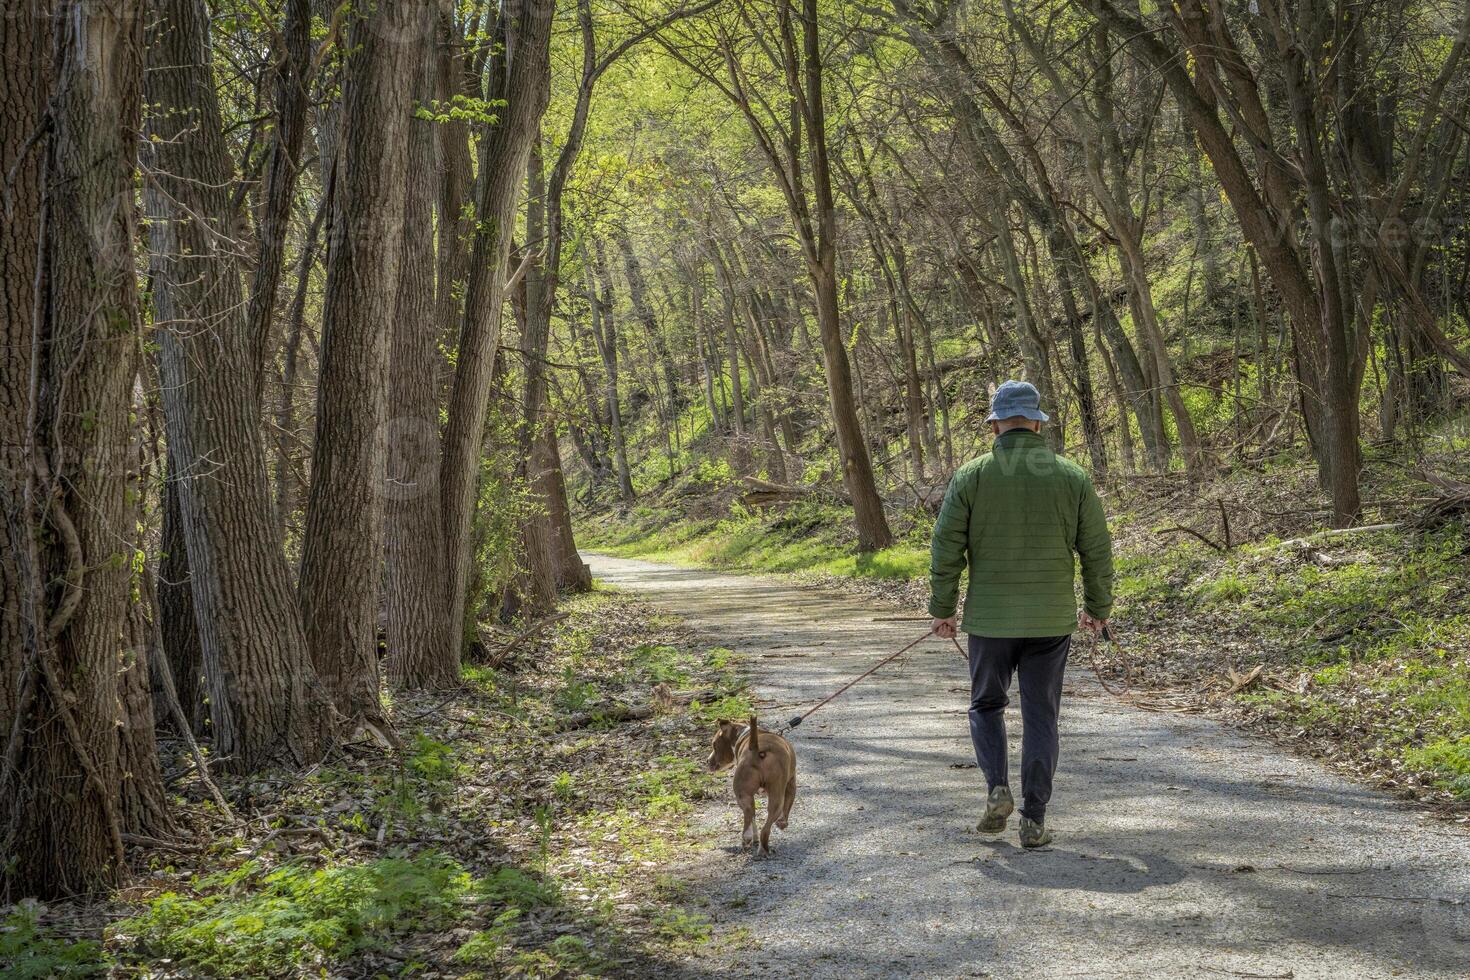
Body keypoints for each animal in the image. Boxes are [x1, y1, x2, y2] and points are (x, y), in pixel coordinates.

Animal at [705, 717, 799, 852]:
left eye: (714, 745)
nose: (707, 760)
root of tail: (757, 750)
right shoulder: (791, 783)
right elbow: (787, 807)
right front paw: (782, 823)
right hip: (776, 794)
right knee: (764, 821)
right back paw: (761, 845)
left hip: (744, 794)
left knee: (749, 812)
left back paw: (749, 838)